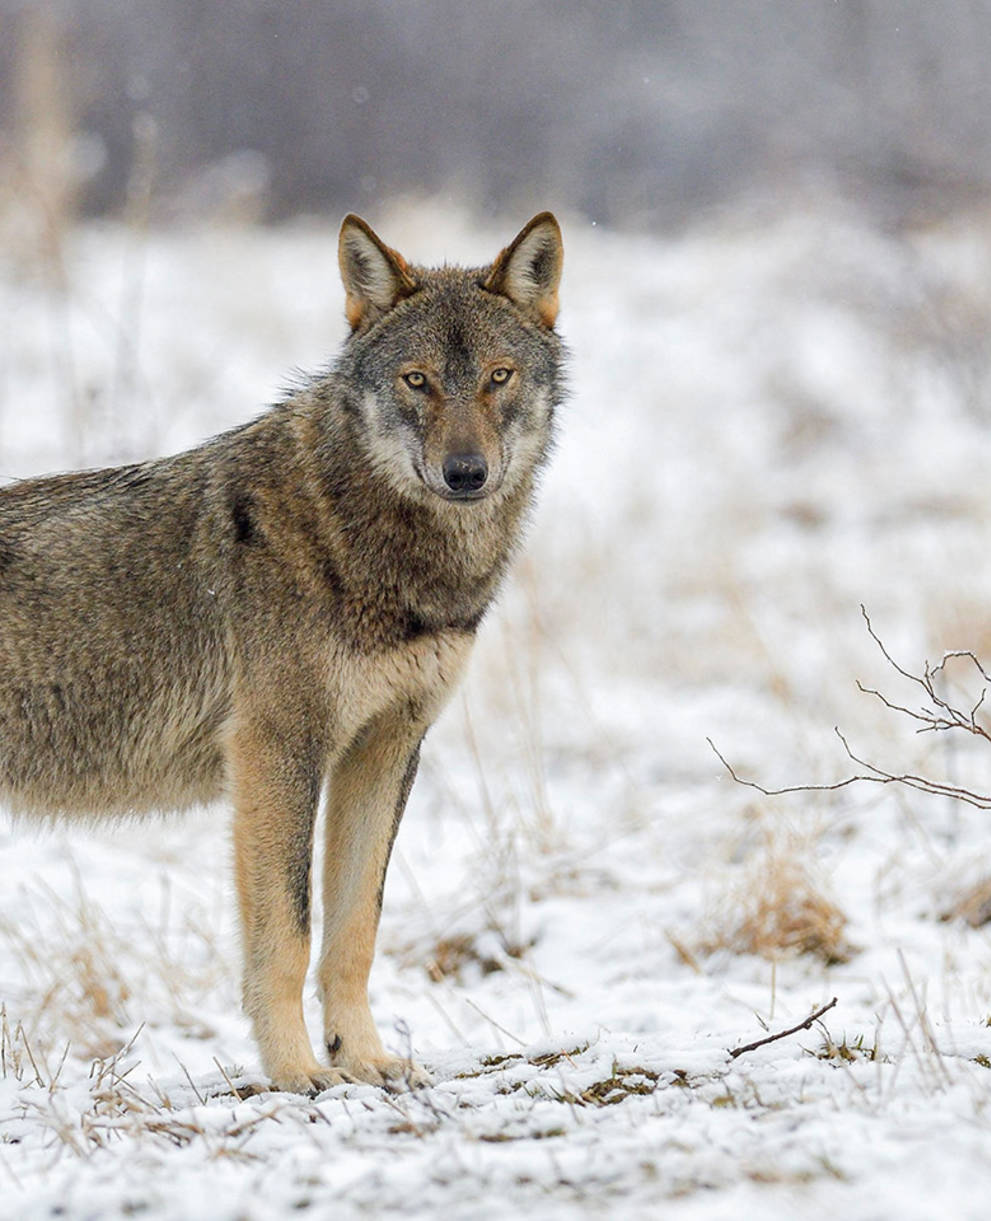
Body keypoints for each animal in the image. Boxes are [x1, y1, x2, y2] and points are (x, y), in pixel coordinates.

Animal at [0, 207, 566, 1089]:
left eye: (497, 377)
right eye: (417, 381)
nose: (465, 473)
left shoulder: (384, 749)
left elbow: (354, 928)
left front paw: (363, 1058)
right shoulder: (276, 751)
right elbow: (288, 934)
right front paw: (298, 1072)